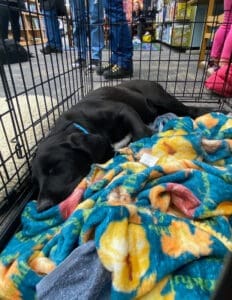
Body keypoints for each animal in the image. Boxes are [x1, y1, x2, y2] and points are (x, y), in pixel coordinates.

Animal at [32, 79, 212, 211]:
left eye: (55, 168)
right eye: (37, 181)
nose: (42, 207)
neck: (78, 122)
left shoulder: (124, 110)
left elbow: (142, 132)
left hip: (162, 98)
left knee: (189, 110)